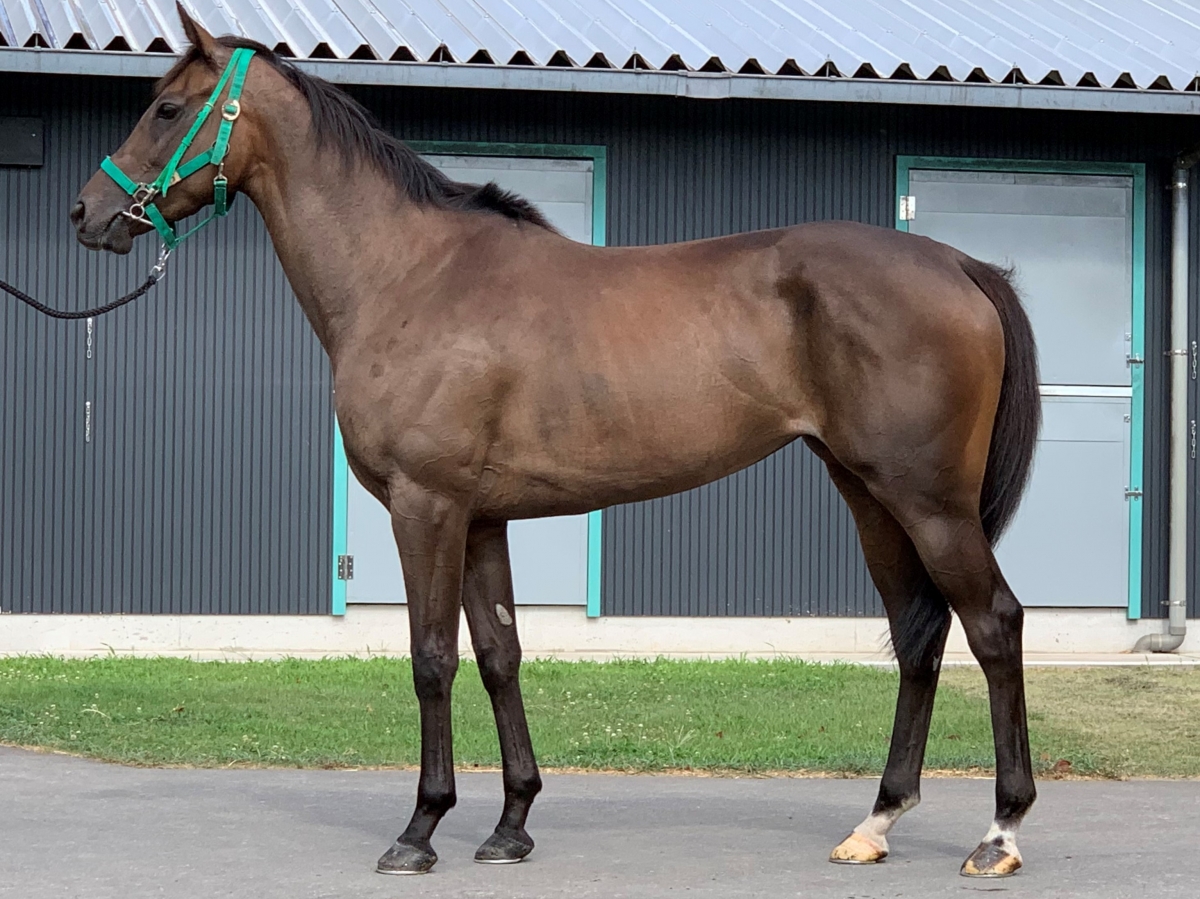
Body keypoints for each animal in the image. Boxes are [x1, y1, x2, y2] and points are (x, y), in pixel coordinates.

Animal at [70, 5, 1041, 878]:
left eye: (166, 108)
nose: (88, 213)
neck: (409, 275)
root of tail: (959, 265)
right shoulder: (482, 518)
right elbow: (501, 656)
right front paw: (510, 824)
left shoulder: (426, 507)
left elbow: (431, 659)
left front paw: (419, 830)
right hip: (868, 494)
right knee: (917, 634)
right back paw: (875, 821)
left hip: (927, 500)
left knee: (992, 623)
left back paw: (999, 833)